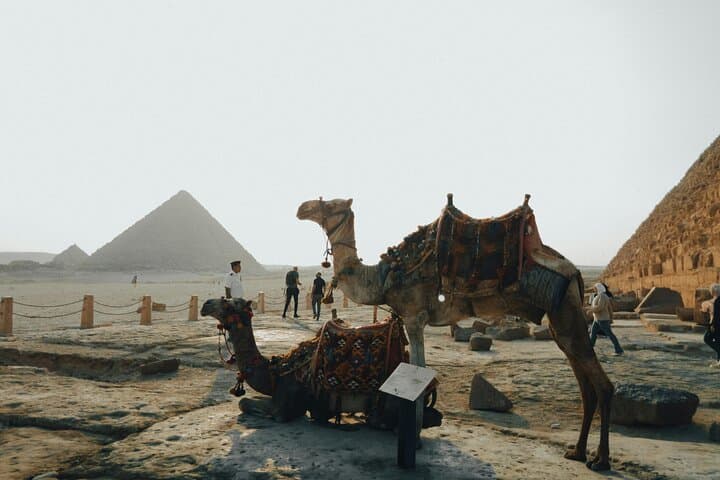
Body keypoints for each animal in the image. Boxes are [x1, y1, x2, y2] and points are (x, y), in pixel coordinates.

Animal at [296, 195, 616, 471]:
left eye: (330, 204)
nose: (302, 207)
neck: (384, 276)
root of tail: (575, 273)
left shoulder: (414, 317)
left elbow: (420, 374)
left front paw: (415, 439)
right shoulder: (414, 319)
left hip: (565, 311)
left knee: (602, 385)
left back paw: (600, 460)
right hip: (561, 320)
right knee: (585, 385)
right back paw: (577, 451)